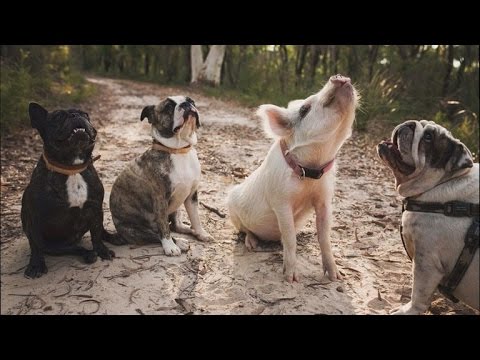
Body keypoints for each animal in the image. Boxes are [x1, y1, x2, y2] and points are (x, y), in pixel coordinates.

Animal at [21, 102, 117, 280]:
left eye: (85, 114)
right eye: (58, 117)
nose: (75, 115)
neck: (71, 168)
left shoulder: (95, 208)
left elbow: (96, 233)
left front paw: (102, 250)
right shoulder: (34, 217)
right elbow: (35, 244)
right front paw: (36, 265)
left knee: (100, 230)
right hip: (53, 247)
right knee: (72, 249)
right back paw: (88, 254)